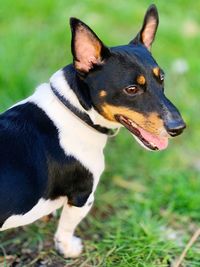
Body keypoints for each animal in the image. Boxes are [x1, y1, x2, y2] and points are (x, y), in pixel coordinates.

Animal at [0, 4, 186, 260]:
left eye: (162, 79)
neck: (75, 111)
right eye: (132, 89)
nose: (179, 127)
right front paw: (68, 249)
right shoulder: (83, 197)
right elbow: (66, 228)